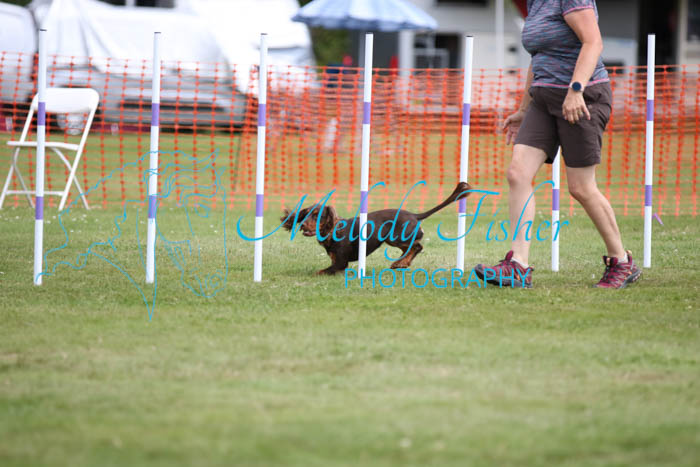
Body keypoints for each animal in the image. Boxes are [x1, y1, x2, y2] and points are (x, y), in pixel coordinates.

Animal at [280, 182, 471, 275]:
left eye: (317, 215)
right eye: (305, 214)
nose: (303, 225)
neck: (332, 231)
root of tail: (414, 215)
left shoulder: (341, 262)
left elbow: (319, 271)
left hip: (396, 237)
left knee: (417, 246)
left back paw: (400, 263)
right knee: (410, 249)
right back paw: (401, 263)